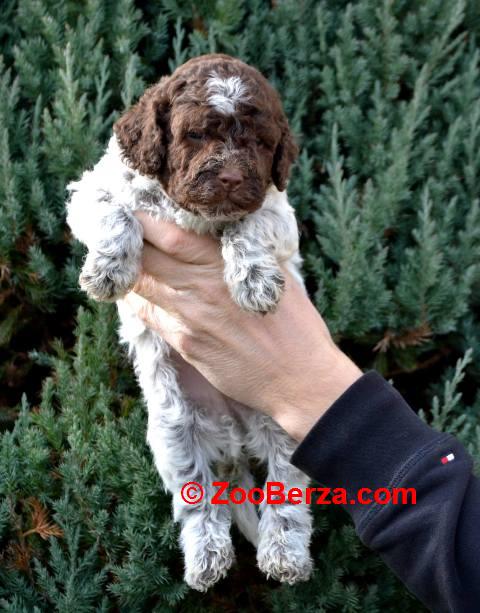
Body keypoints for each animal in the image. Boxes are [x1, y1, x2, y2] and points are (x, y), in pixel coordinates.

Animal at [66, 55, 316, 592]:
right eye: (197, 134)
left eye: (261, 144)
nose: (230, 179)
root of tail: (234, 440)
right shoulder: (93, 188)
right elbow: (115, 211)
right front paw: (109, 269)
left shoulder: (277, 209)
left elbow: (250, 221)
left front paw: (255, 281)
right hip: (172, 435)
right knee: (200, 501)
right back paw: (207, 558)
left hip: (286, 425)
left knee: (286, 492)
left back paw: (283, 554)